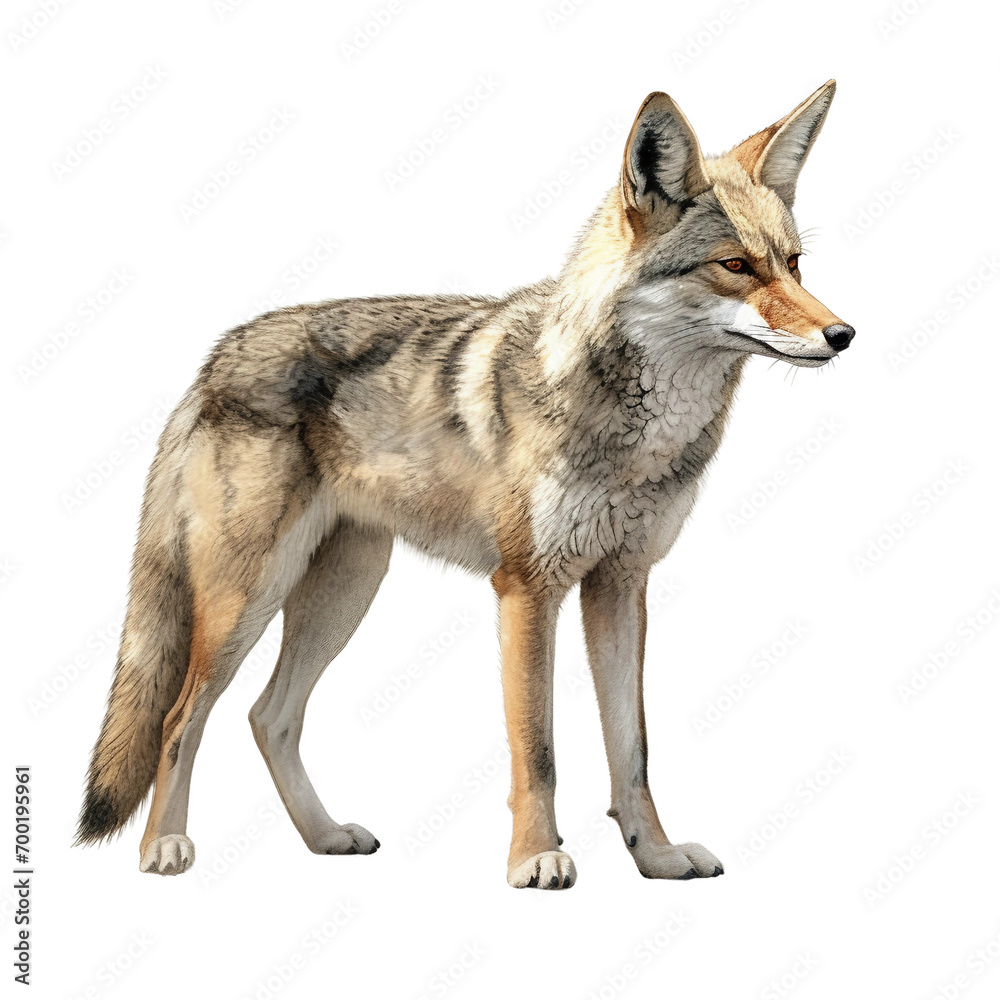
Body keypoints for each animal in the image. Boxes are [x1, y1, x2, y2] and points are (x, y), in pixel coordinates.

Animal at [77, 80, 854, 888]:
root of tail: (215, 357)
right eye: (736, 266)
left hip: (344, 592)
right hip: (248, 600)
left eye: (794, 264)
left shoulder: (621, 585)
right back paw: (164, 847)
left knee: (269, 716)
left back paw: (325, 837)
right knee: (180, 717)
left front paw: (657, 856)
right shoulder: (526, 589)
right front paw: (537, 858)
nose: (843, 334)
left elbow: (632, 749)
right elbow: (537, 749)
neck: (639, 438)